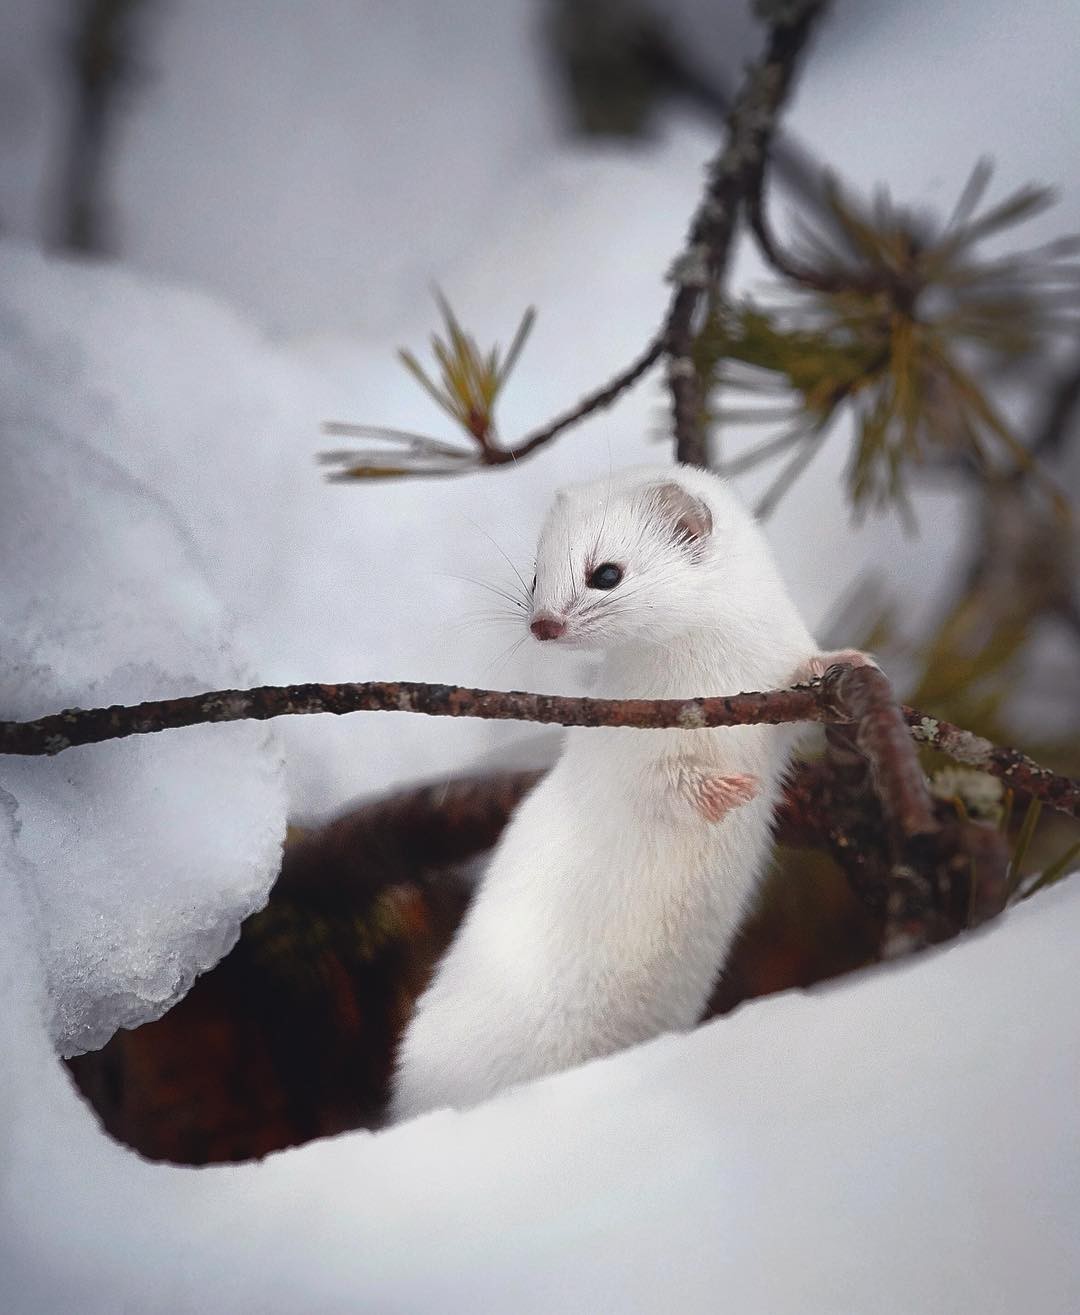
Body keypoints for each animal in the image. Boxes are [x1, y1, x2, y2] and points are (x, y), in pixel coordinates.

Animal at [389, 462, 857, 1120]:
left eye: (605, 573)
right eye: (536, 573)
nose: (542, 624)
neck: (716, 673)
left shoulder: (774, 687)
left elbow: (805, 680)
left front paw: (853, 660)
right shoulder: (634, 740)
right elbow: (664, 782)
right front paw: (729, 790)